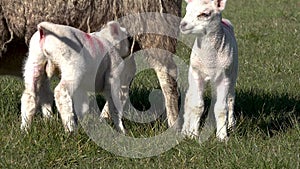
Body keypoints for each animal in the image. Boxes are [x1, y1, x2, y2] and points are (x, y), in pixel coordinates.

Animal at [179, 0, 238, 141]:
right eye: (187, 10)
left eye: (204, 14)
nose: (183, 24)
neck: (209, 61)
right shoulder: (196, 74)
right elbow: (197, 105)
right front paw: (192, 134)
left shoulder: (224, 77)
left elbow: (221, 108)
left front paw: (222, 136)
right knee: (189, 99)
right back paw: (185, 130)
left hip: (233, 73)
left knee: (231, 99)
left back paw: (231, 125)